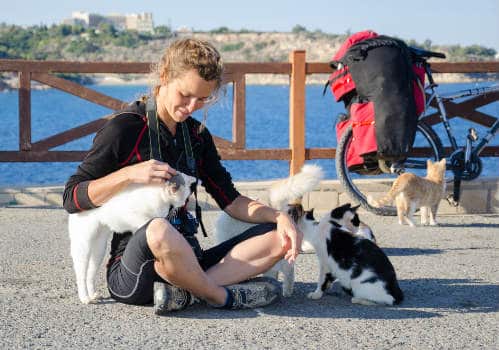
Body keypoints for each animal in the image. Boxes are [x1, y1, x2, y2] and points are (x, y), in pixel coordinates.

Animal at [68, 172, 195, 304]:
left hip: (99, 248)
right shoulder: (132, 215)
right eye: (184, 196)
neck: (158, 195)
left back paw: (92, 295)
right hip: (84, 245)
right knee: (81, 273)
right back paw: (85, 297)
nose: (183, 204)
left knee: (90, 274)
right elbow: (147, 220)